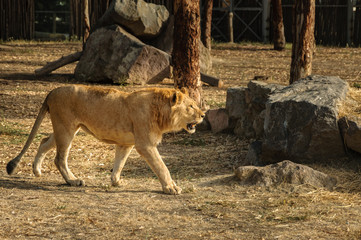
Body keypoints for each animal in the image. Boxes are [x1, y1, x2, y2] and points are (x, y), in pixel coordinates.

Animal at [5, 85, 204, 194]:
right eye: (191, 106)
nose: (203, 115)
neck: (161, 112)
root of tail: (52, 91)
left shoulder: (126, 143)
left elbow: (119, 163)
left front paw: (116, 181)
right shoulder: (145, 145)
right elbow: (162, 167)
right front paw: (171, 188)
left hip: (66, 129)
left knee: (44, 141)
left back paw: (37, 170)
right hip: (66, 129)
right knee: (59, 158)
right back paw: (73, 181)